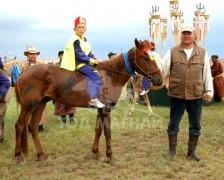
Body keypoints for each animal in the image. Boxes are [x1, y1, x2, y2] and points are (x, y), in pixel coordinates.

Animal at [14, 38, 164, 165]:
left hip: (40, 104)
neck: (110, 75)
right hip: (29, 106)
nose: (160, 80)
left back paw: (41, 155)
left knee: (33, 127)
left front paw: (96, 153)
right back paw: (19, 157)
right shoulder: (106, 109)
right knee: (20, 126)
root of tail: (23, 73)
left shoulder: (100, 109)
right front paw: (110, 156)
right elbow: (107, 131)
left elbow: (98, 129)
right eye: (146, 58)